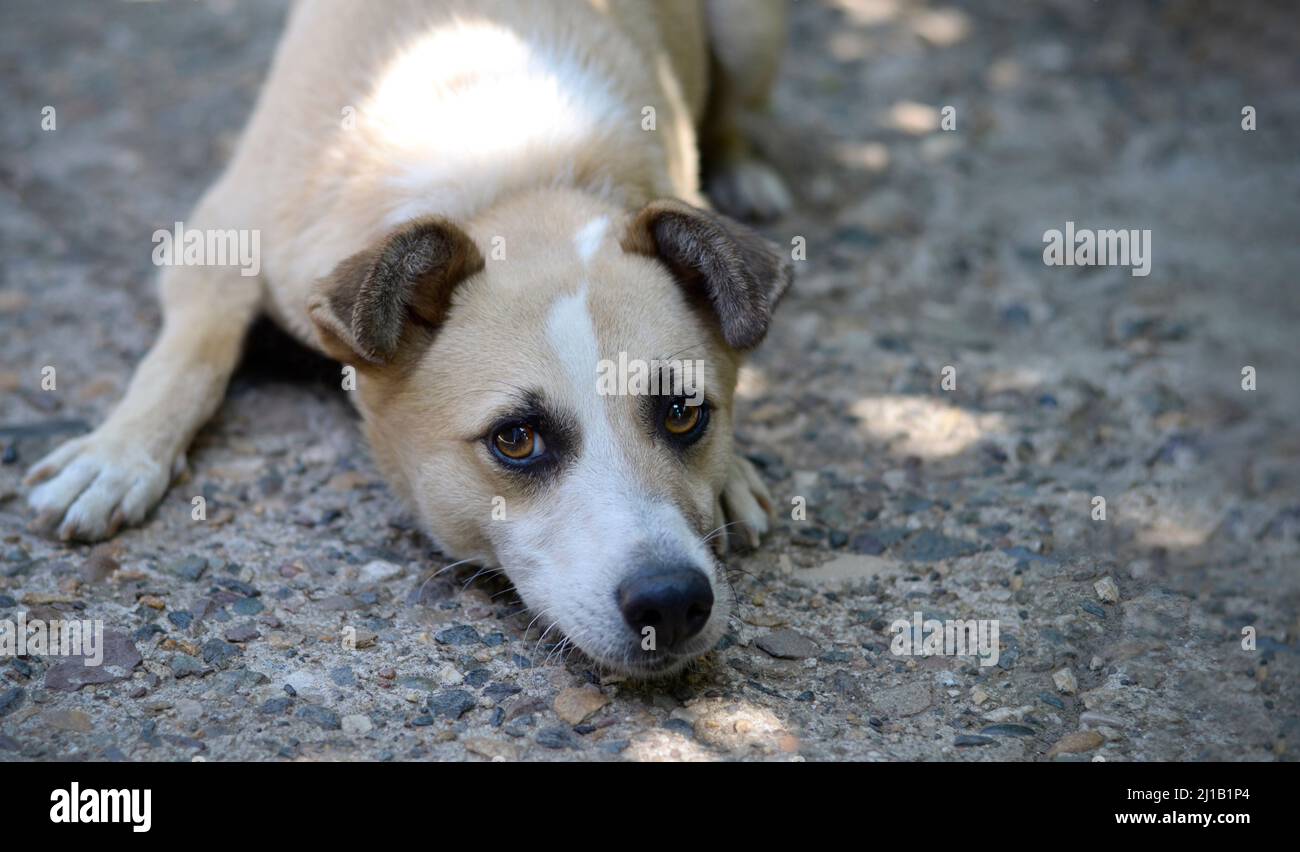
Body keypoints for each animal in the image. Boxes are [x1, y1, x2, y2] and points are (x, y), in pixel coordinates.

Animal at [25, 0, 790, 681]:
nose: (674, 602)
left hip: (749, 31)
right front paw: (118, 453)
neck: (517, 181)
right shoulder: (217, 234)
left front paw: (733, 477)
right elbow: (190, 356)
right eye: (516, 439)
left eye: (684, 413)